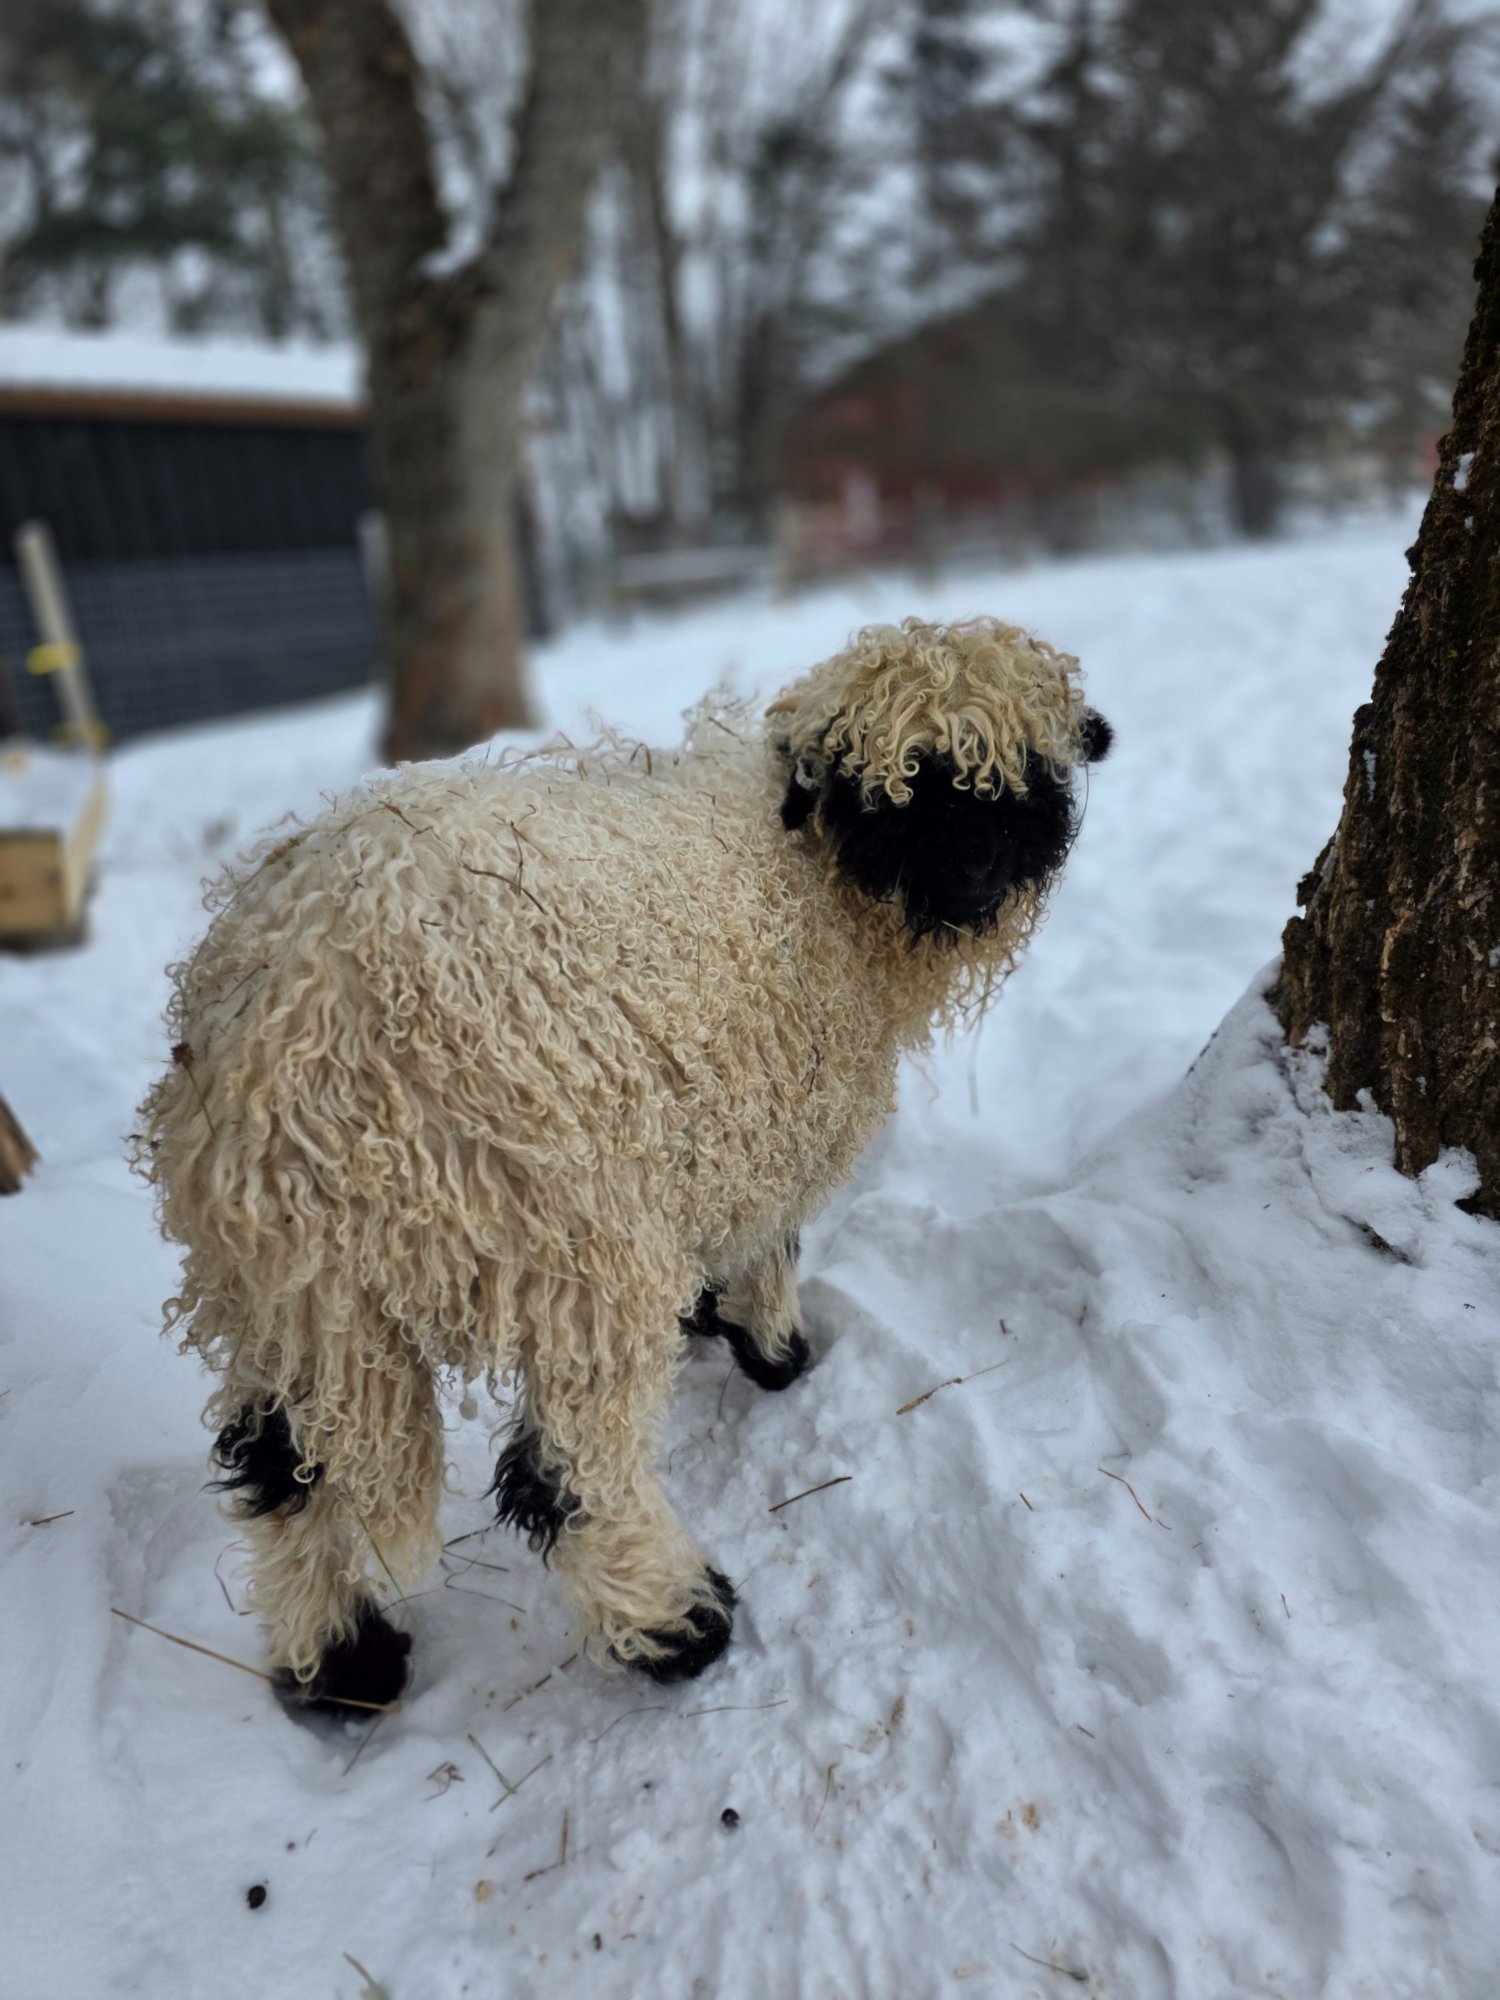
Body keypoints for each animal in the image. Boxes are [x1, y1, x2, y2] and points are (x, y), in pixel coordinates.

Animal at [133, 615, 1111, 1711]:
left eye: (1025, 788)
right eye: (894, 795)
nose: (978, 883)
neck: (817, 881)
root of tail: (293, 1033)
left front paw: (719, 1320)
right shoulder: (768, 1120)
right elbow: (772, 1242)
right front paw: (776, 1351)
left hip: (288, 1290)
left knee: (278, 1465)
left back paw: (343, 1665)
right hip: (565, 1239)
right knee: (564, 1473)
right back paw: (676, 1622)